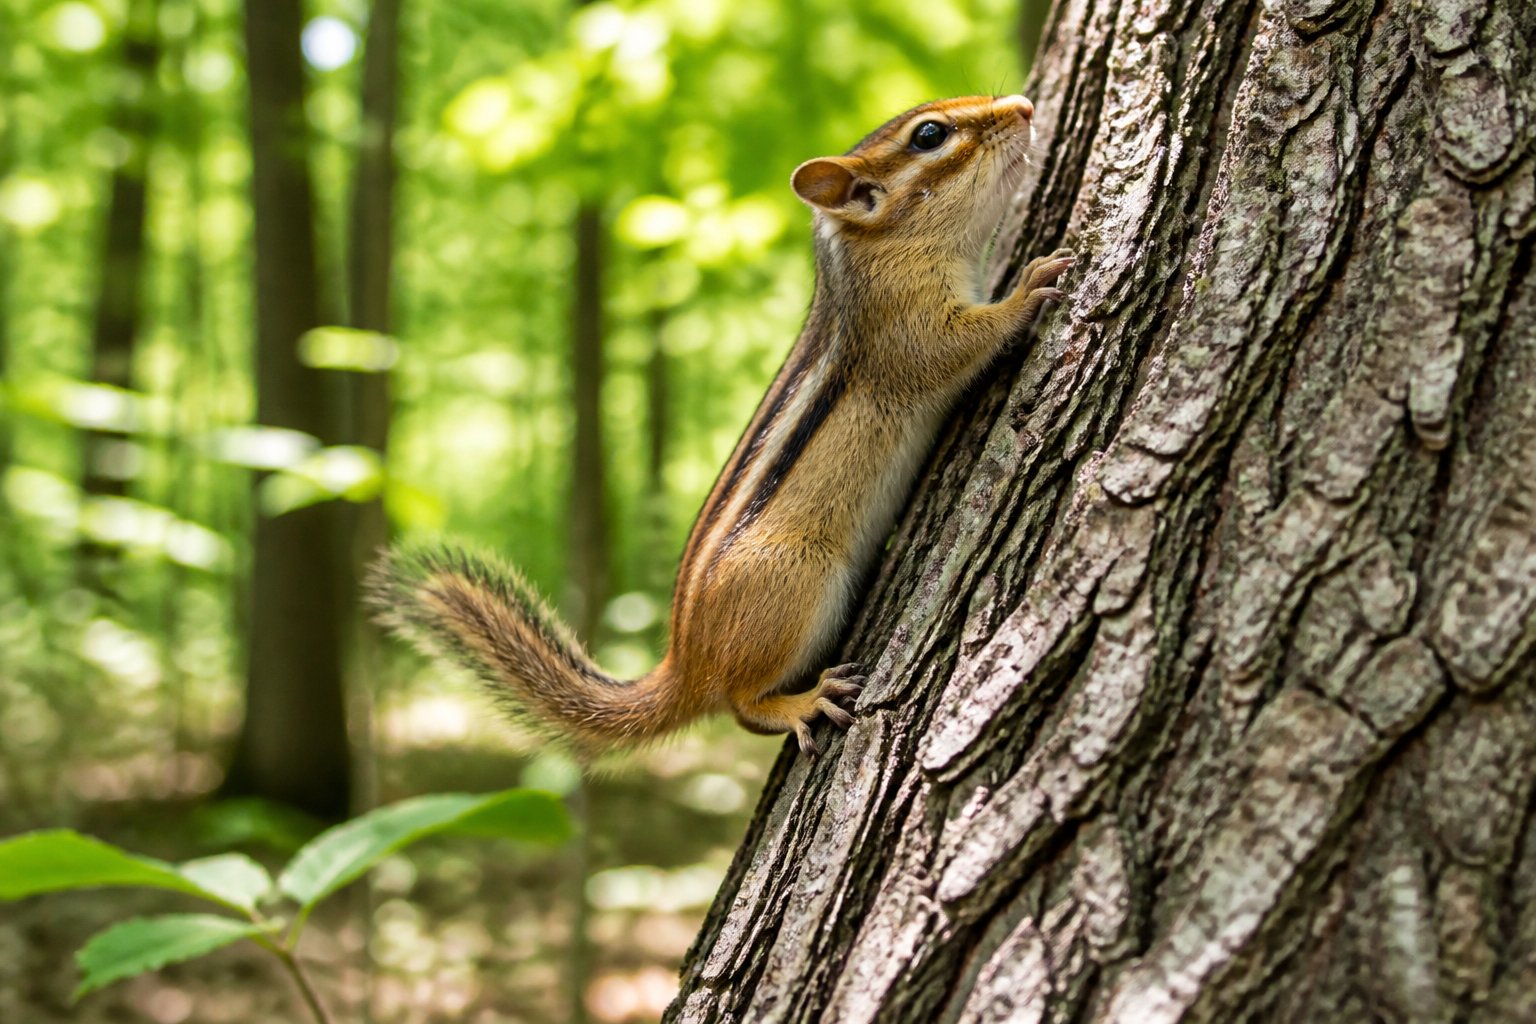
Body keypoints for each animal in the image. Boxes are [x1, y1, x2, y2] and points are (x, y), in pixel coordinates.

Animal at [369, 94, 1074, 759]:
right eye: (930, 135)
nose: (1025, 105)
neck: (880, 250)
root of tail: (684, 667)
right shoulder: (903, 322)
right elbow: (952, 347)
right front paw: (1030, 284)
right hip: (794, 578)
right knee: (738, 704)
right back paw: (798, 703)